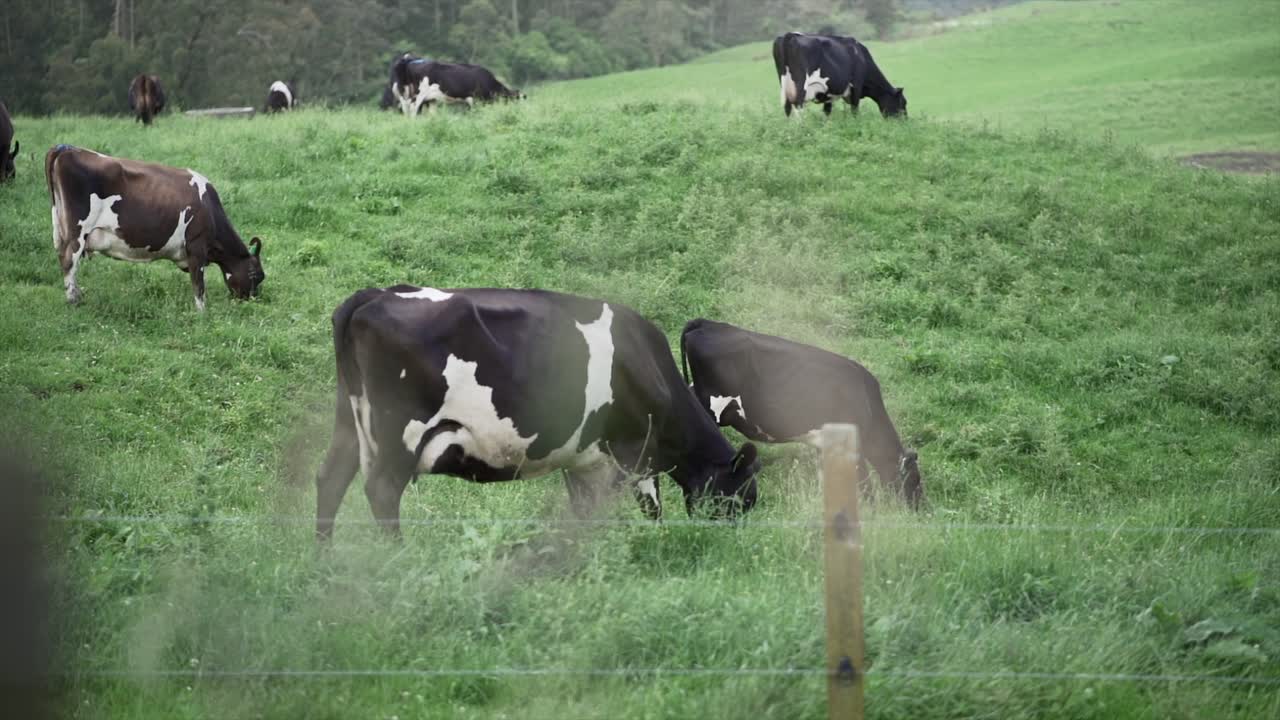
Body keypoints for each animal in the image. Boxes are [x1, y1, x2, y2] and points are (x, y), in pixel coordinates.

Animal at [45, 145, 265, 311]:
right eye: (256, 275)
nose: (252, 300)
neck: (209, 208)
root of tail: (66, 149)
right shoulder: (196, 246)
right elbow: (199, 285)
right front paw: (202, 312)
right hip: (77, 232)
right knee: (69, 260)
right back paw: (74, 301)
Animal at [314, 287, 761, 540]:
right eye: (742, 498)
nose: (729, 546)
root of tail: (373, 294)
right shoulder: (634, 449)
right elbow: (650, 510)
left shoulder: (581, 459)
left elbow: (584, 514)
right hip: (399, 431)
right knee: (383, 491)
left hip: (349, 421)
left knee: (330, 480)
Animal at [390, 57, 523, 117]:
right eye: (514, 101)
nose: (517, 113)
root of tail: (410, 61)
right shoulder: (475, 99)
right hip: (418, 95)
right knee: (413, 109)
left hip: (428, 98)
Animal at [772, 32, 907, 118]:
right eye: (903, 103)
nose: (904, 122)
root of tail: (790, 35)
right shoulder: (856, 87)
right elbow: (855, 111)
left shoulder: (827, 94)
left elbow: (827, 113)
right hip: (800, 87)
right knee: (799, 110)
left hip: (785, 86)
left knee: (787, 109)